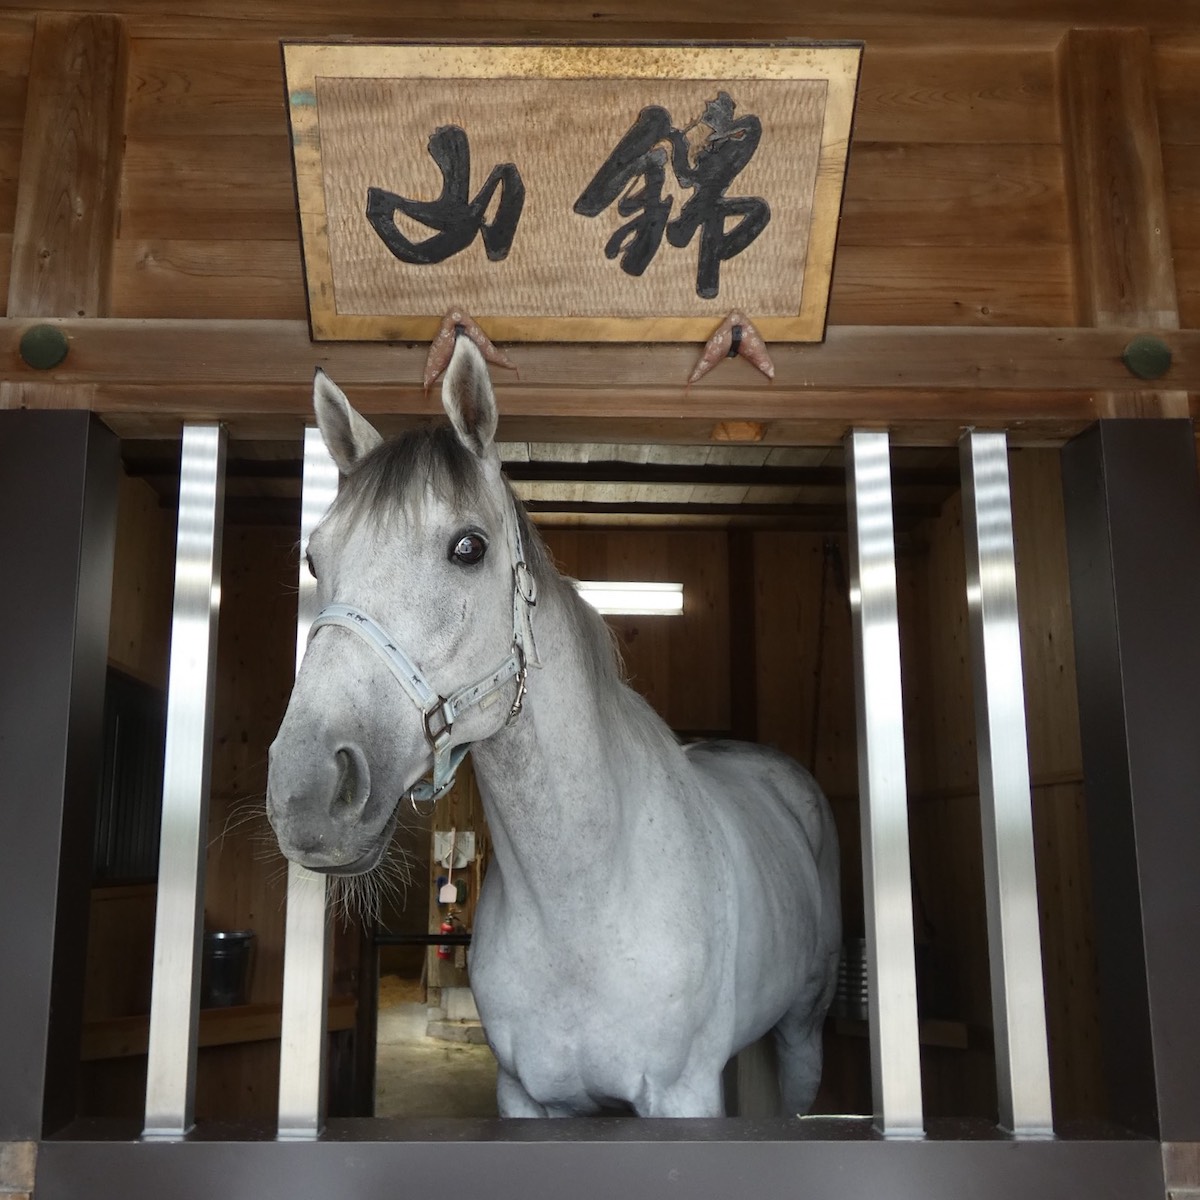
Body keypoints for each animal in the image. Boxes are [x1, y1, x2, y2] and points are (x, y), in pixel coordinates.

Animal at [266, 335, 842, 1118]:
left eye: (469, 547)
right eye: (314, 557)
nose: (306, 791)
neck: (581, 901)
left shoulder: (684, 1098)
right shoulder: (527, 1098)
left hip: (803, 1034)